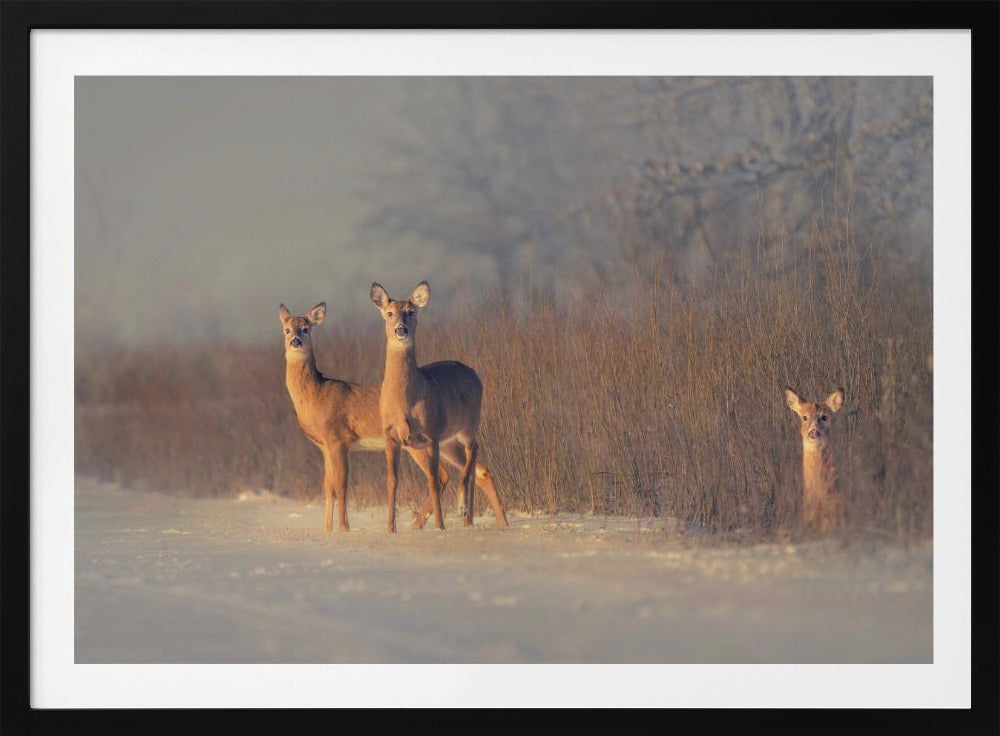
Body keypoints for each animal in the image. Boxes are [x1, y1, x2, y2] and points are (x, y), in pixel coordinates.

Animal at [280, 301, 466, 533]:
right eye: (287, 329)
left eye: (306, 329)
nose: (295, 341)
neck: (316, 396)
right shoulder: (325, 446)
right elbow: (328, 487)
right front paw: (327, 530)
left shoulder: (338, 439)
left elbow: (341, 485)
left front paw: (344, 528)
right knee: (450, 473)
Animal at [370, 281, 508, 533]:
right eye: (389, 313)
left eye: (411, 312)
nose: (401, 330)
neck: (405, 401)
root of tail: (474, 373)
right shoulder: (392, 436)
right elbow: (392, 481)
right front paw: (390, 528)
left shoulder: (431, 434)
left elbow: (433, 481)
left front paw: (440, 526)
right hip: (447, 443)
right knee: (479, 470)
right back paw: (481, 521)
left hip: (468, 425)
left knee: (473, 453)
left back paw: (464, 509)